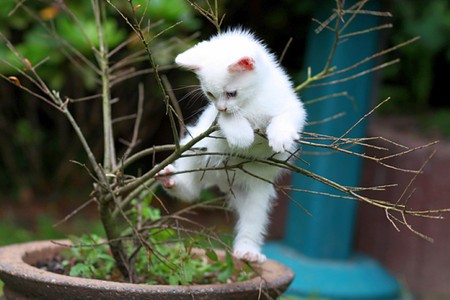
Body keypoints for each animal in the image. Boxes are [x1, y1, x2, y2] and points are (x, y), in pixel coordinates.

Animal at [157, 28, 306, 262]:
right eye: (210, 94)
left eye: (231, 93)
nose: (222, 107)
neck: (253, 99)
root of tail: (219, 179)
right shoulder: (214, 122)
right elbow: (229, 121)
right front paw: (242, 135)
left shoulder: (291, 107)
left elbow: (285, 119)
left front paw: (280, 137)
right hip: (195, 151)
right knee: (189, 191)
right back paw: (170, 180)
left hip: (255, 193)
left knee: (252, 221)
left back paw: (248, 250)